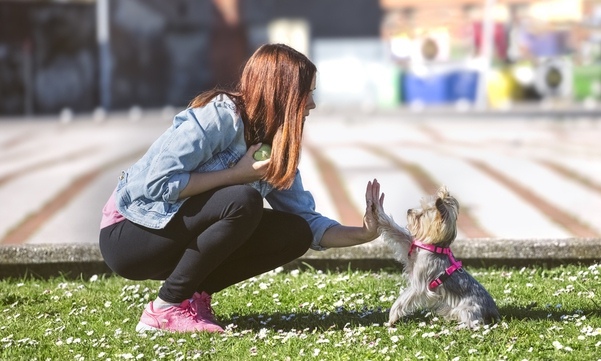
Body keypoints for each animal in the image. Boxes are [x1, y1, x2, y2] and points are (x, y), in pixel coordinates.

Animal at [376, 187, 502, 328]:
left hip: (468, 308)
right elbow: (398, 234)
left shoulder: (420, 285)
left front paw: (391, 318)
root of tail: (494, 311)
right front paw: (377, 212)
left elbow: (402, 300)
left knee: (473, 322)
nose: (409, 210)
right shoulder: (410, 251)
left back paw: (459, 327)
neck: (435, 248)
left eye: (422, 215)